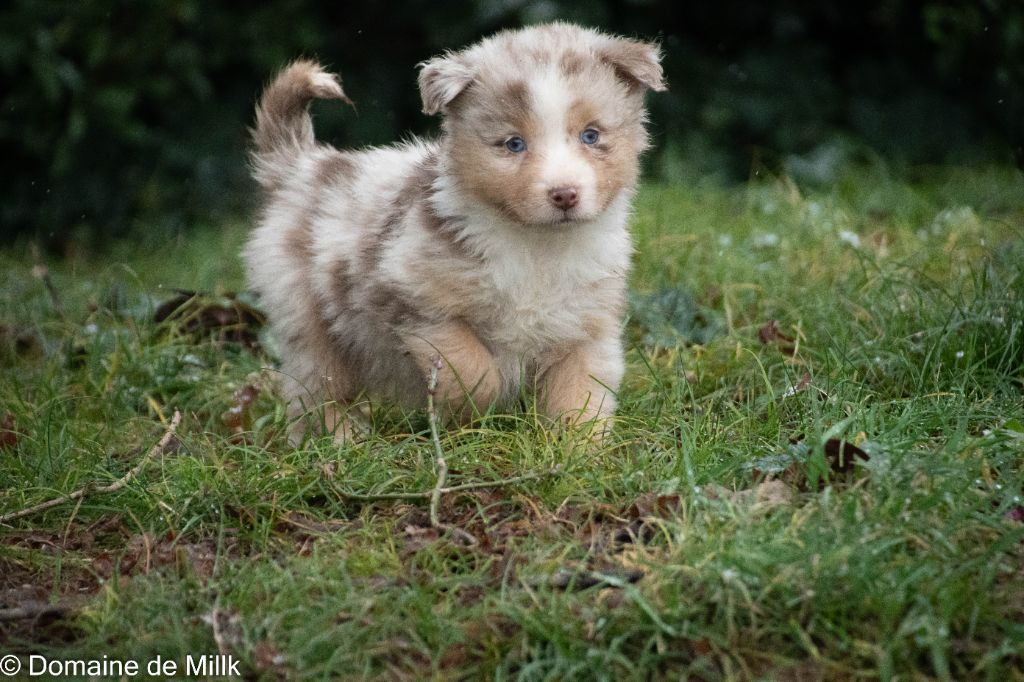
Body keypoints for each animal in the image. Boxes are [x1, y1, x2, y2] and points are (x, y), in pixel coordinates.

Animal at [245, 22, 665, 441]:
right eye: (514, 144)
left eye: (591, 136)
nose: (565, 194)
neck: (536, 246)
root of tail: (303, 165)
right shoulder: (418, 304)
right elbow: (474, 369)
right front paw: (478, 417)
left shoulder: (585, 326)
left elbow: (580, 397)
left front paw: (578, 451)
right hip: (309, 319)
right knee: (316, 389)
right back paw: (338, 438)